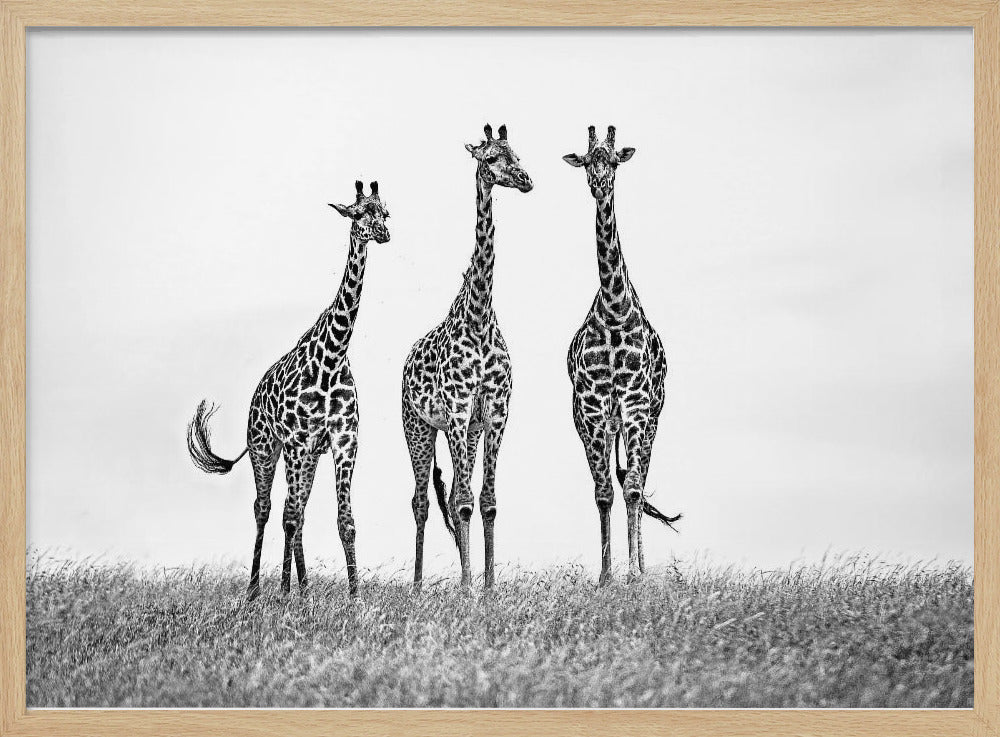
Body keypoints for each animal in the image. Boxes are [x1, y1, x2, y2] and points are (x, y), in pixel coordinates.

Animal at [186, 180, 390, 600]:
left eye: (386, 212)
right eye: (359, 212)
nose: (383, 234)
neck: (333, 354)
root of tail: (254, 397)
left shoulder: (343, 441)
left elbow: (345, 520)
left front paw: (355, 597)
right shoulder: (296, 442)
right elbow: (288, 516)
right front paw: (282, 594)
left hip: (307, 457)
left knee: (296, 511)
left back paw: (305, 587)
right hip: (266, 449)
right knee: (266, 509)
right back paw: (256, 591)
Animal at [402, 123, 533, 590]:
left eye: (517, 153)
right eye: (491, 158)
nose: (526, 180)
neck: (478, 319)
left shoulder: (494, 412)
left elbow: (487, 500)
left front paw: (489, 586)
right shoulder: (457, 410)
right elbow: (460, 501)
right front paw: (467, 586)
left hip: (467, 433)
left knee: (458, 492)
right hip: (419, 428)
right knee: (422, 500)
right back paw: (419, 584)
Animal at [563, 125, 681, 586]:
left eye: (613, 160)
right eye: (585, 159)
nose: (599, 184)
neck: (615, 310)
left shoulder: (635, 405)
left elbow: (632, 489)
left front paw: (632, 574)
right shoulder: (593, 410)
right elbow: (603, 493)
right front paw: (605, 576)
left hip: (651, 420)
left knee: (639, 481)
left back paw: (643, 567)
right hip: (603, 425)